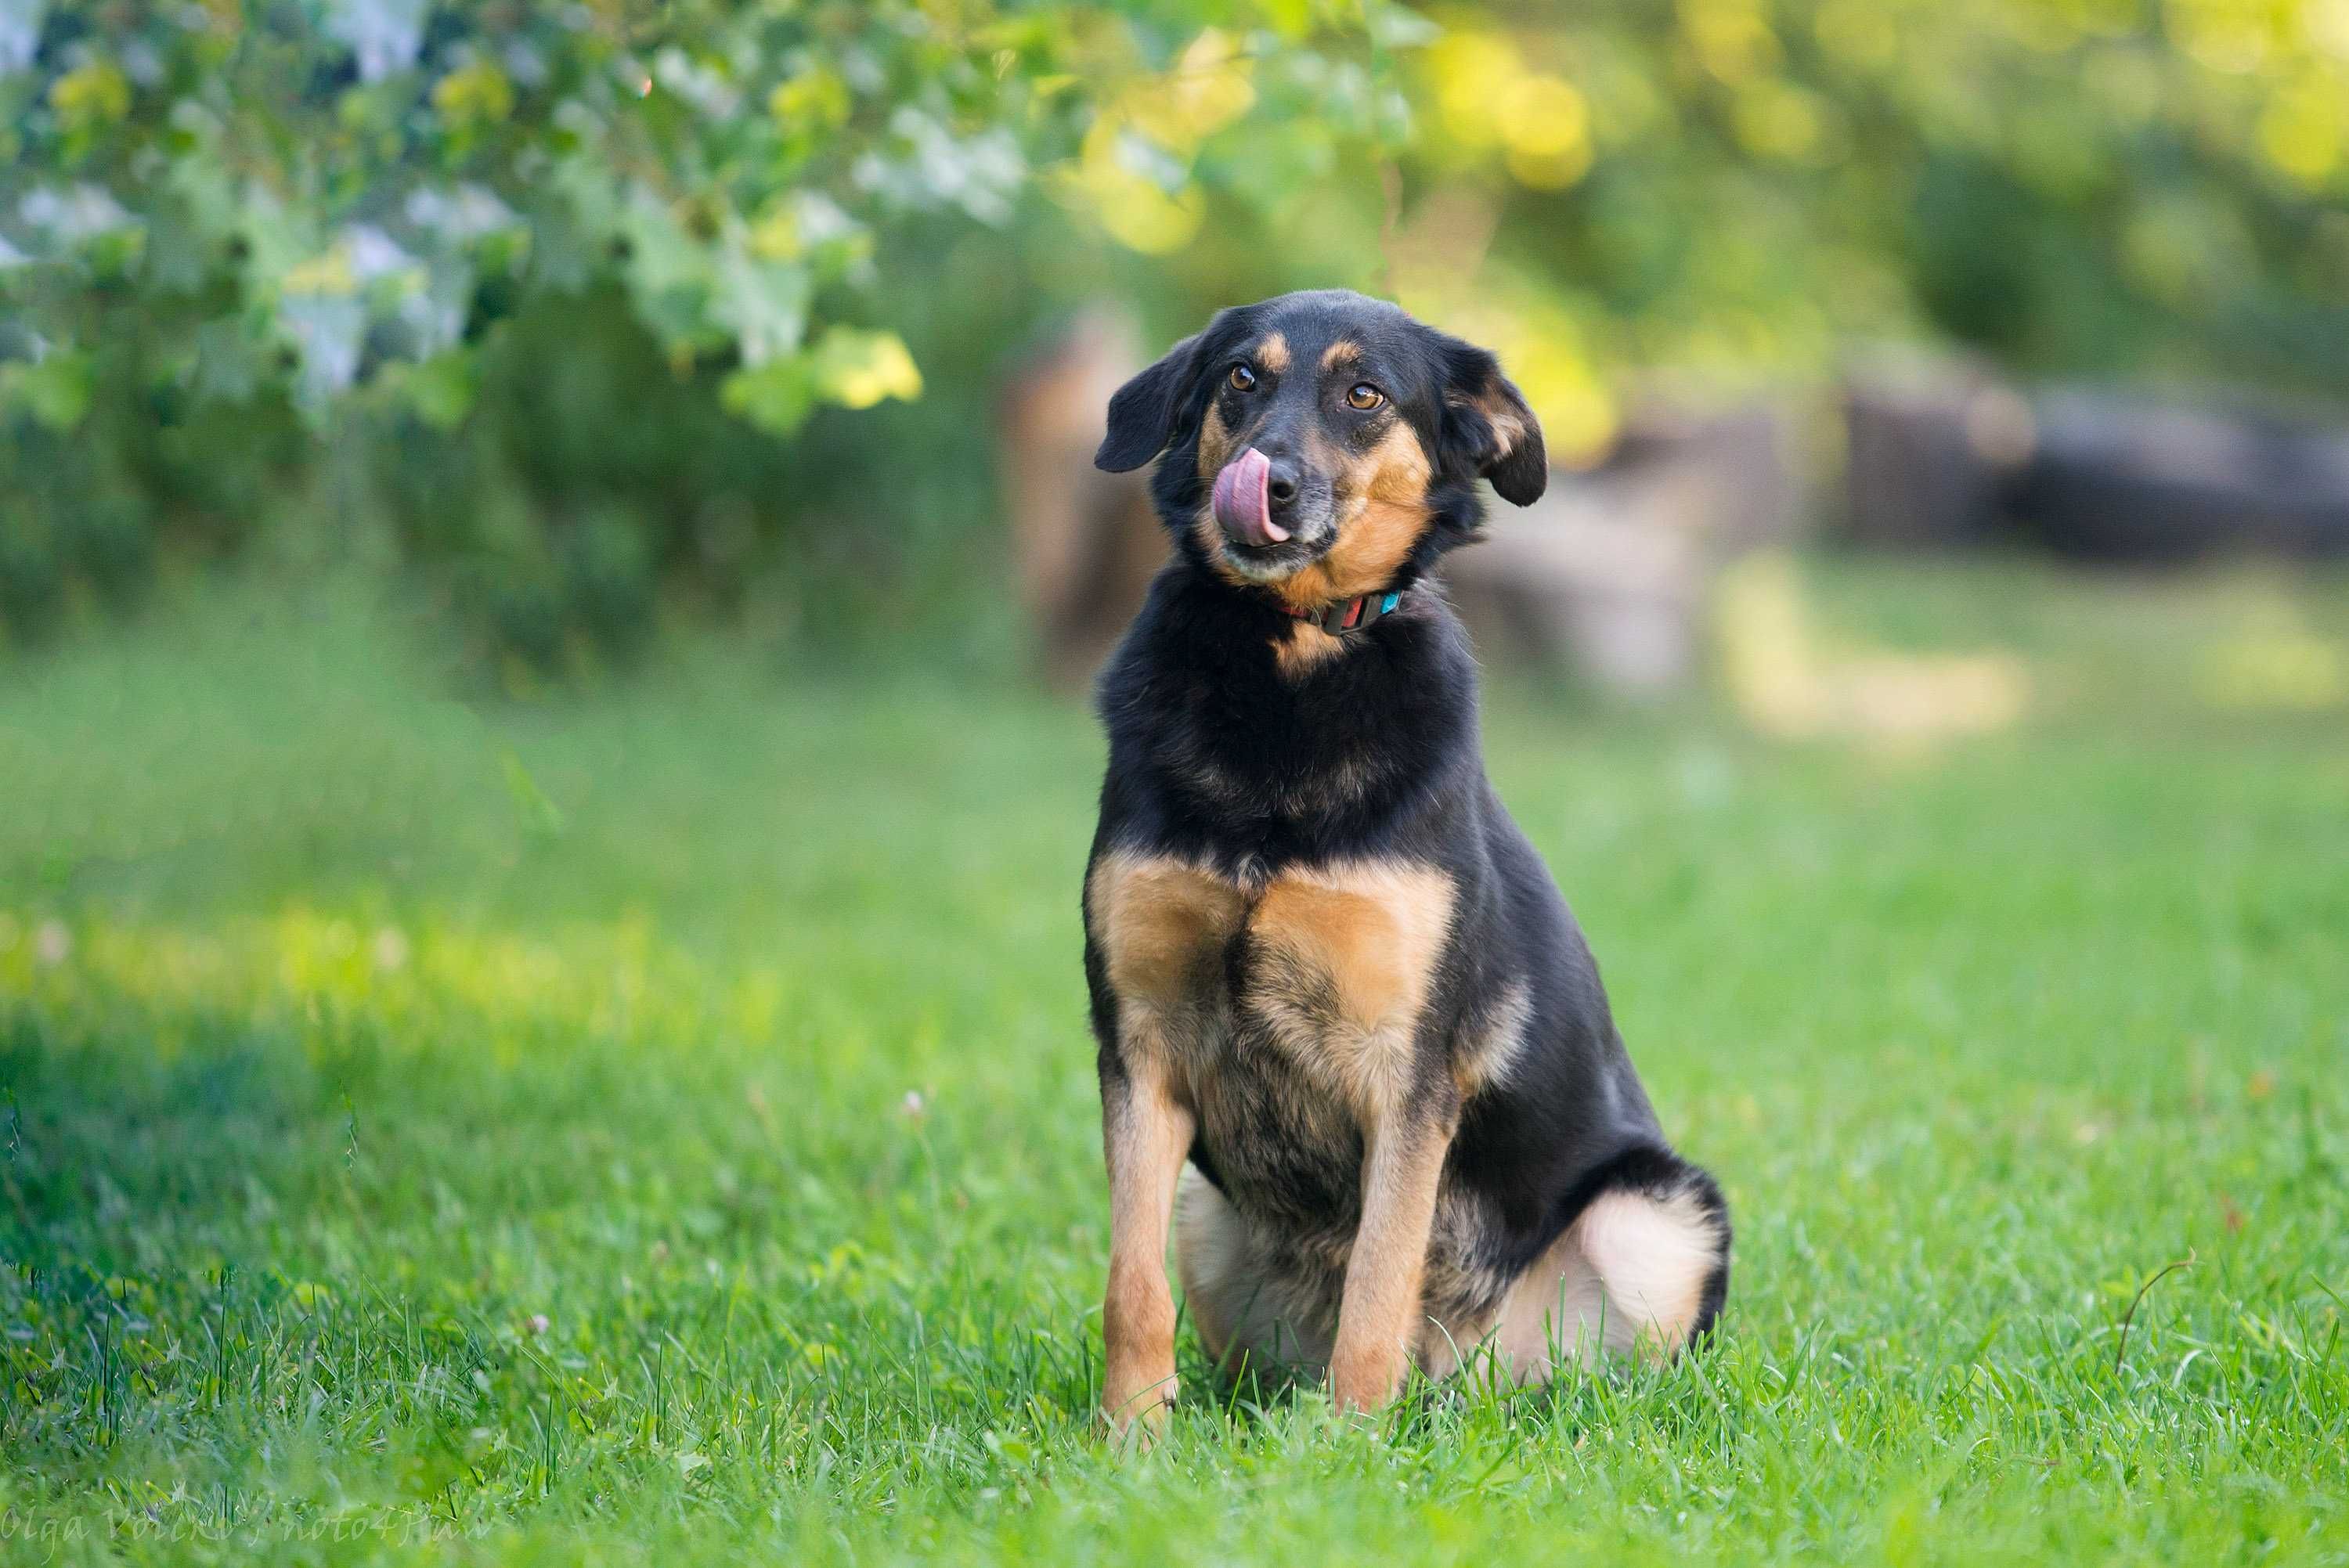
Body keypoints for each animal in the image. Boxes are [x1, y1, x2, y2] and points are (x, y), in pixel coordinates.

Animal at [1081, 287, 1729, 1436]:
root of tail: (1466, 1376)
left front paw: (1347, 1443)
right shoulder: (1139, 1039)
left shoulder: (1409, 1067)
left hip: (1659, 1215)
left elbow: (1380, 1277)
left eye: (1365, 394)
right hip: (1208, 1206)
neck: (1294, 659)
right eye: (1240, 378)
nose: (1270, 482)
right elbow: (1130, 1283)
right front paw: (1130, 1439)